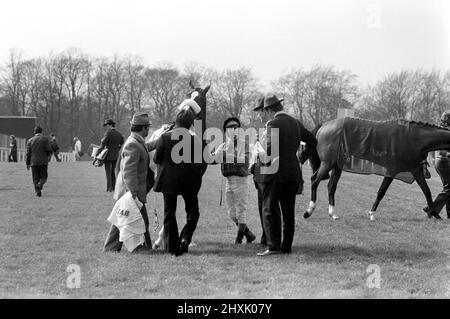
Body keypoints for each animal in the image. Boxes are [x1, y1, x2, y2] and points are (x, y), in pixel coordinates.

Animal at [302, 119, 450, 221]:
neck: (413, 139)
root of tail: (324, 125)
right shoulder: (392, 170)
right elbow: (381, 192)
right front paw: (372, 214)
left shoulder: (416, 170)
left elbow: (427, 191)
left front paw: (435, 214)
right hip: (328, 163)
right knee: (314, 180)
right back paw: (309, 211)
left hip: (337, 165)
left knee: (331, 186)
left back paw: (333, 214)